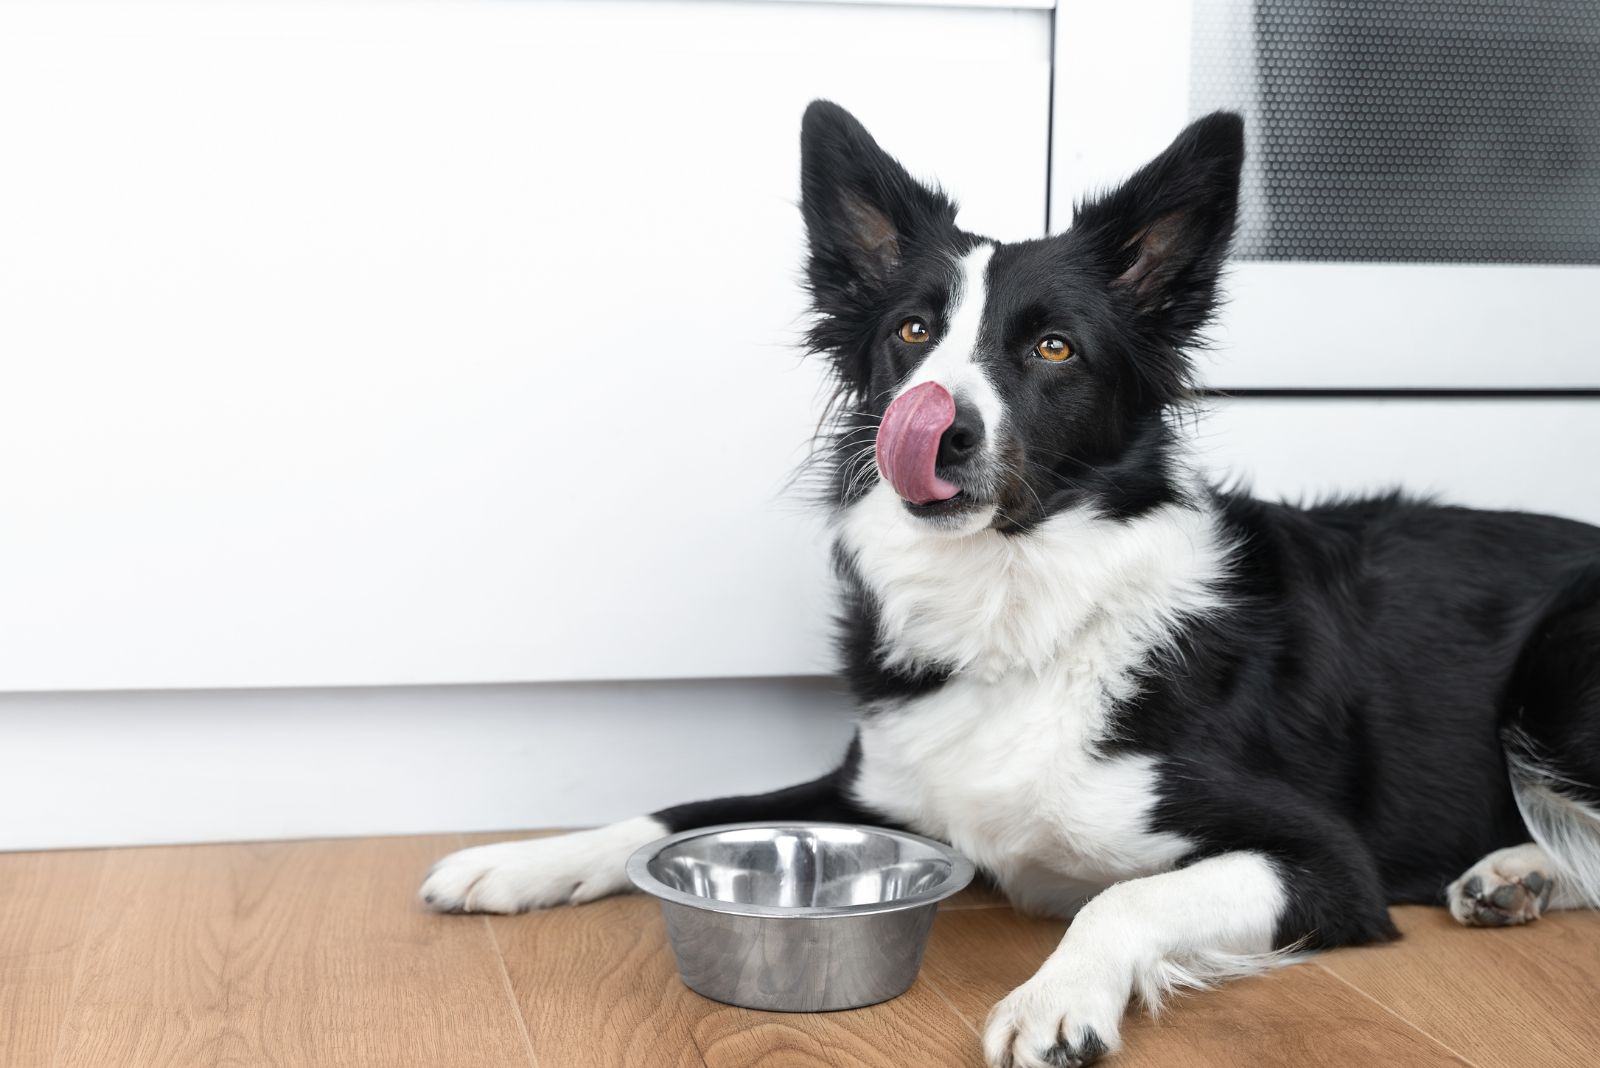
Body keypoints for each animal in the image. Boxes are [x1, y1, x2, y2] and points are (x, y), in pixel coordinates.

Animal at [422, 102, 1600, 1068]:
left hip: (1560, 671)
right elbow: (671, 815)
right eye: (911, 331)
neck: (1016, 604)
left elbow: (1121, 901)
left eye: (1053, 348)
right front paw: (520, 861)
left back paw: (1520, 868)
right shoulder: (877, 785)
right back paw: (1518, 876)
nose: (939, 429)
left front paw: (1054, 1002)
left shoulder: (1319, 860)